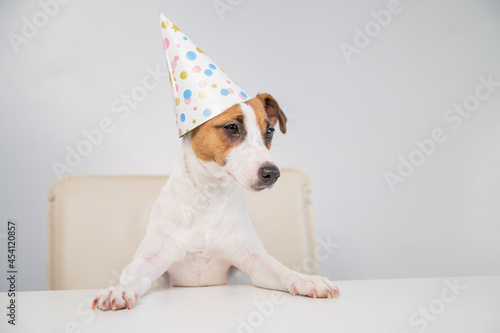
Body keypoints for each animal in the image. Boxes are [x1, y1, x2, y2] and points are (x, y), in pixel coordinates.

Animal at [93, 92, 340, 308]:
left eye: (269, 131)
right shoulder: (151, 260)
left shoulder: (254, 261)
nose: (272, 173)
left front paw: (306, 279)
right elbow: (132, 275)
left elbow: (281, 270)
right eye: (232, 127)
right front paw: (119, 290)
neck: (208, 199)